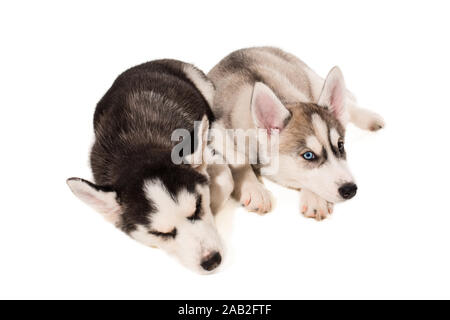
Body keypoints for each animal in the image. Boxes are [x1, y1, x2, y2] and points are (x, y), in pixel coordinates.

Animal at [68, 60, 234, 276]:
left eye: (197, 208)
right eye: (160, 233)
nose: (212, 260)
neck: (137, 151)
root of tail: (144, 64)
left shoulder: (209, 153)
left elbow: (225, 182)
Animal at [208, 47, 384, 220]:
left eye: (340, 146)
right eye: (308, 155)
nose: (350, 189)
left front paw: (314, 198)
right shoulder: (216, 132)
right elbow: (239, 160)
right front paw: (255, 189)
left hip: (311, 78)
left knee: (348, 105)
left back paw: (370, 118)